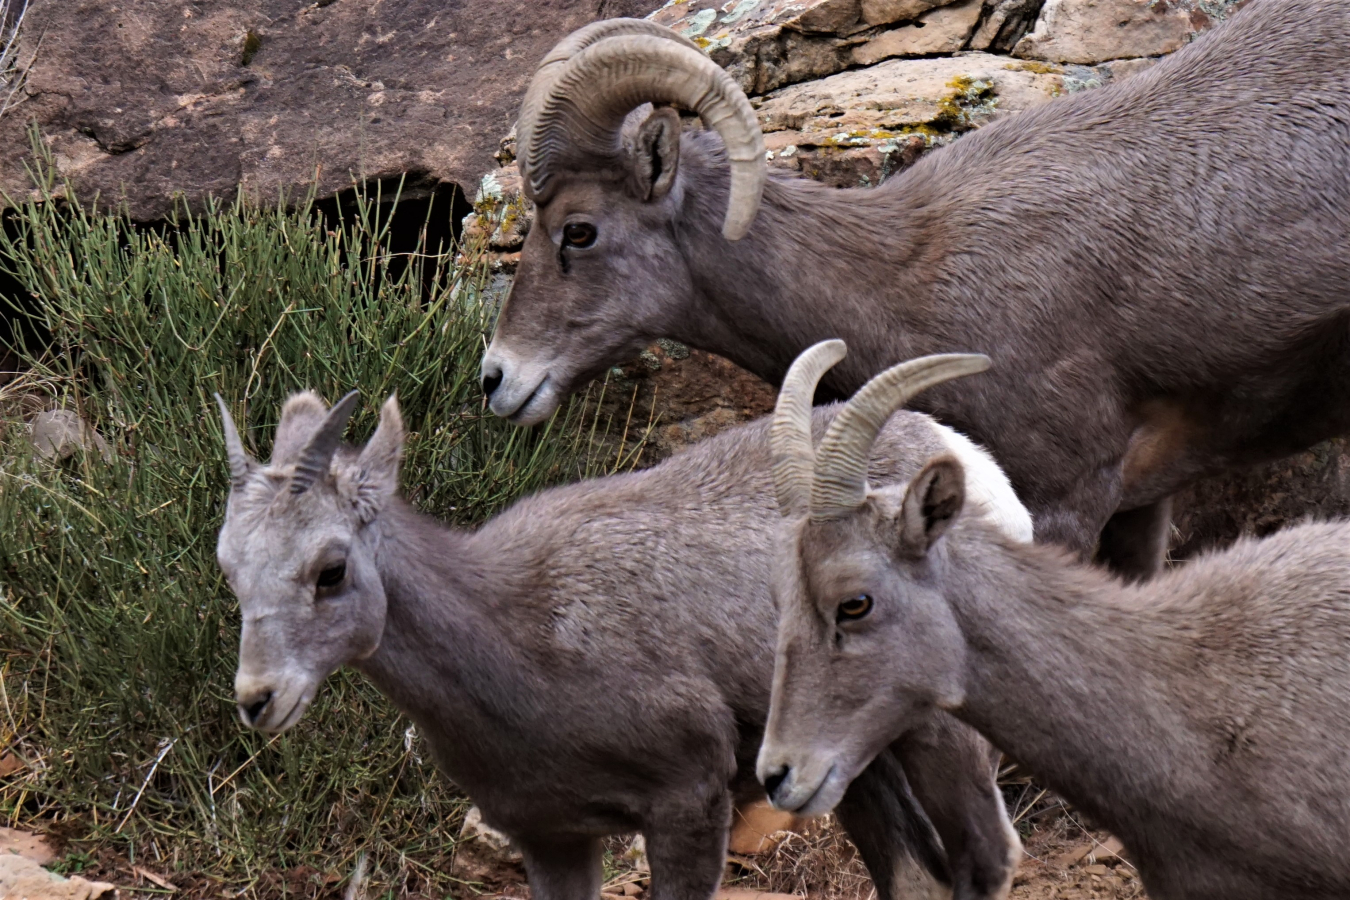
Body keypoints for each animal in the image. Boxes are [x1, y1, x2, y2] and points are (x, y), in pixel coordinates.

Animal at [216, 385, 1026, 900]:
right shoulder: (551, 837)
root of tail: (966, 459)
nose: (259, 700)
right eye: (229, 566)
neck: (523, 638)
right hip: (853, 773)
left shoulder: (687, 803)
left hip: (943, 740)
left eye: (330, 569)